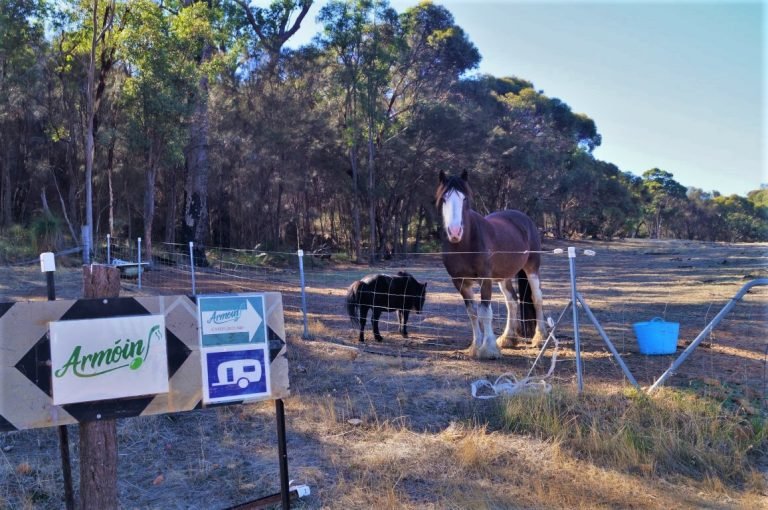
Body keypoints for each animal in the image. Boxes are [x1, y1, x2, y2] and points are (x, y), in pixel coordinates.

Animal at [435, 170, 546, 359]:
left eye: (465, 199)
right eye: (444, 199)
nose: (455, 232)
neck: (464, 245)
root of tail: (524, 217)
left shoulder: (485, 279)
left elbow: (485, 312)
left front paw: (488, 349)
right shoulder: (460, 282)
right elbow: (472, 313)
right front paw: (475, 346)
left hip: (532, 268)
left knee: (536, 298)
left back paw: (539, 338)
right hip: (504, 276)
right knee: (512, 301)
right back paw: (508, 338)